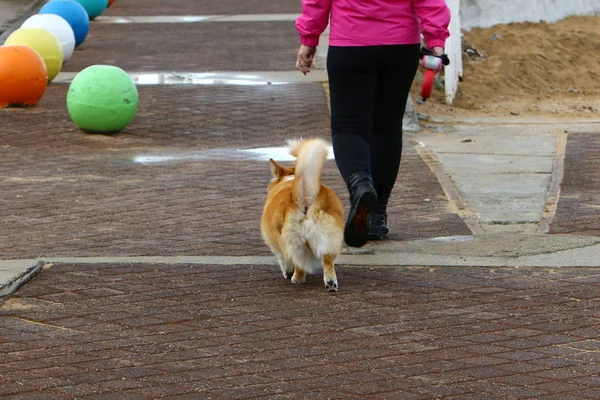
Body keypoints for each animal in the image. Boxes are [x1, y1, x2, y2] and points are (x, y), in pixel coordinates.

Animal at [262, 138, 344, 290]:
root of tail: (308, 196)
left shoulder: (277, 242)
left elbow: (284, 260)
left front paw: (288, 273)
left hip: (294, 240)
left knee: (298, 261)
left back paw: (297, 278)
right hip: (330, 236)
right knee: (328, 261)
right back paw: (330, 283)